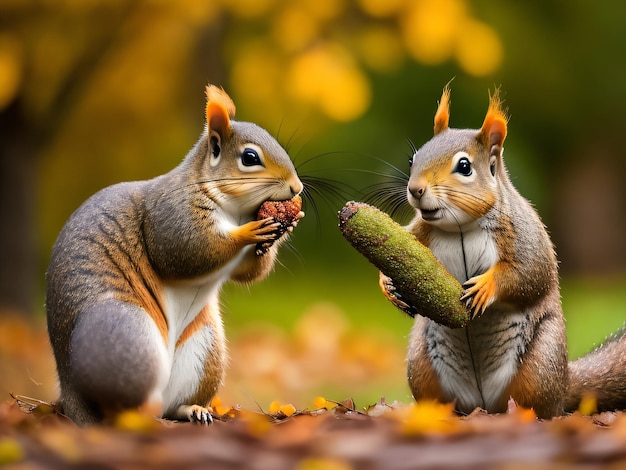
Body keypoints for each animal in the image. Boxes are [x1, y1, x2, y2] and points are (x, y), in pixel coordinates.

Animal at [45, 85, 302, 426]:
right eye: (250, 158)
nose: (296, 188)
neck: (234, 211)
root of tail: (68, 386)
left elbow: (246, 273)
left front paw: (284, 228)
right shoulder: (170, 215)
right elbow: (186, 250)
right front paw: (248, 233)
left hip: (205, 347)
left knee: (173, 405)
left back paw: (193, 409)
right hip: (124, 333)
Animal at [378, 86, 624, 416]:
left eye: (464, 166)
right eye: (413, 160)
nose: (415, 189)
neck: (460, 226)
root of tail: (483, 403)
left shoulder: (524, 235)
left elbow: (530, 273)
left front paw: (486, 286)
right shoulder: (419, 231)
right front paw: (388, 284)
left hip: (540, 364)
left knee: (541, 407)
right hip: (420, 362)